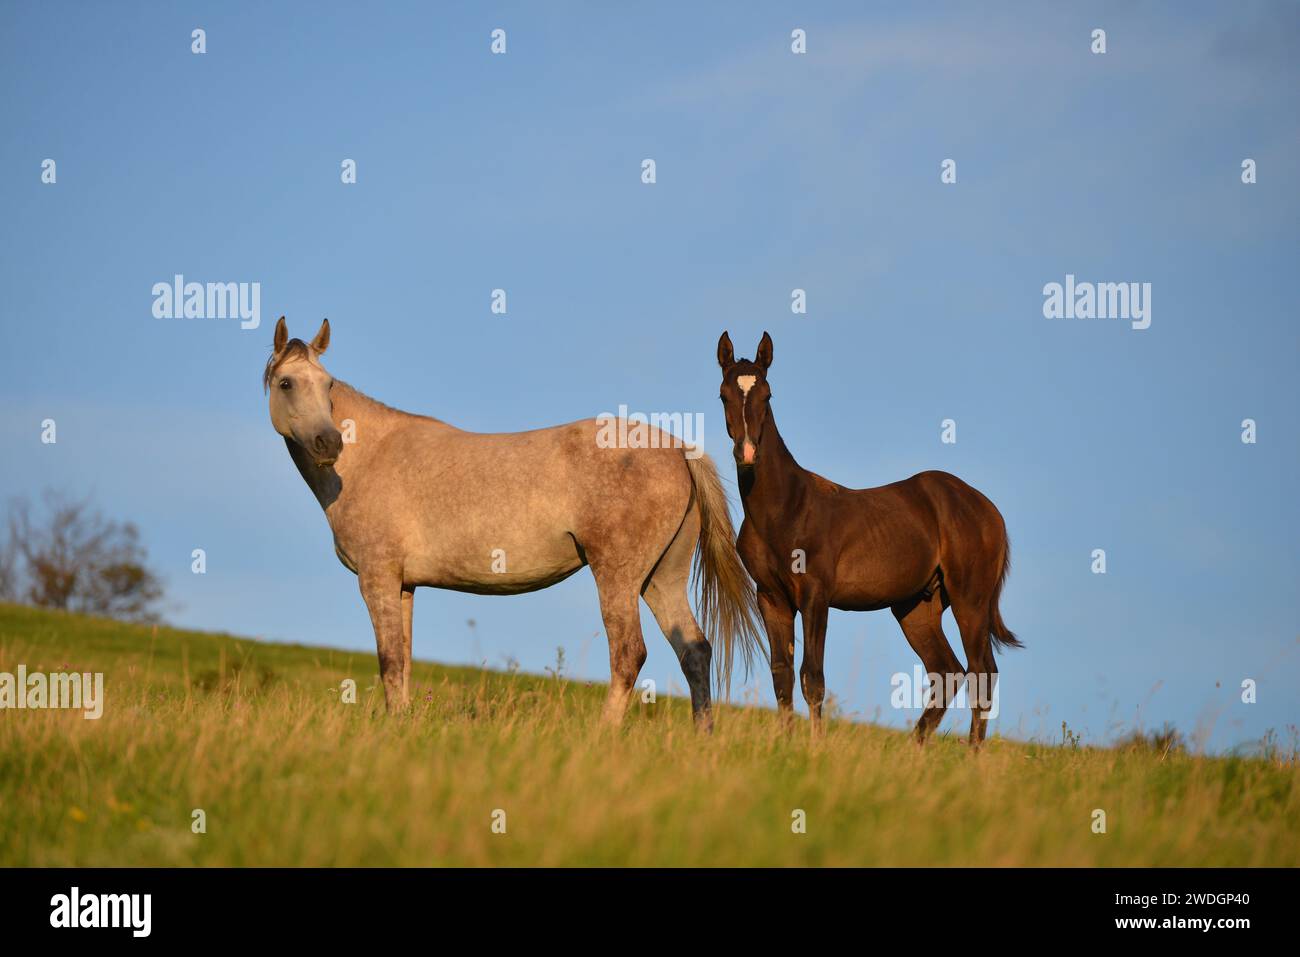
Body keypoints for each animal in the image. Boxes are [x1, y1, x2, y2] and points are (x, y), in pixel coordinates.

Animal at [263, 317, 763, 728]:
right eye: (287, 383)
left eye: (327, 385)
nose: (329, 442)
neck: (371, 457)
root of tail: (679, 449)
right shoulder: (403, 585)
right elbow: (401, 660)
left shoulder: (377, 577)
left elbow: (388, 658)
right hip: (662, 578)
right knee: (694, 651)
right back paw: (703, 739)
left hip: (619, 577)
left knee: (628, 654)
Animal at [715, 331, 1021, 746]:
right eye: (724, 395)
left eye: (767, 394)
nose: (747, 452)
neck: (785, 507)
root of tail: (988, 509)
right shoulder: (771, 598)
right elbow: (782, 674)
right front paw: (786, 745)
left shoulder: (815, 596)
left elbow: (812, 676)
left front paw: (815, 747)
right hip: (917, 608)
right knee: (947, 671)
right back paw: (914, 748)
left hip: (970, 600)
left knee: (982, 671)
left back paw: (972, 754)